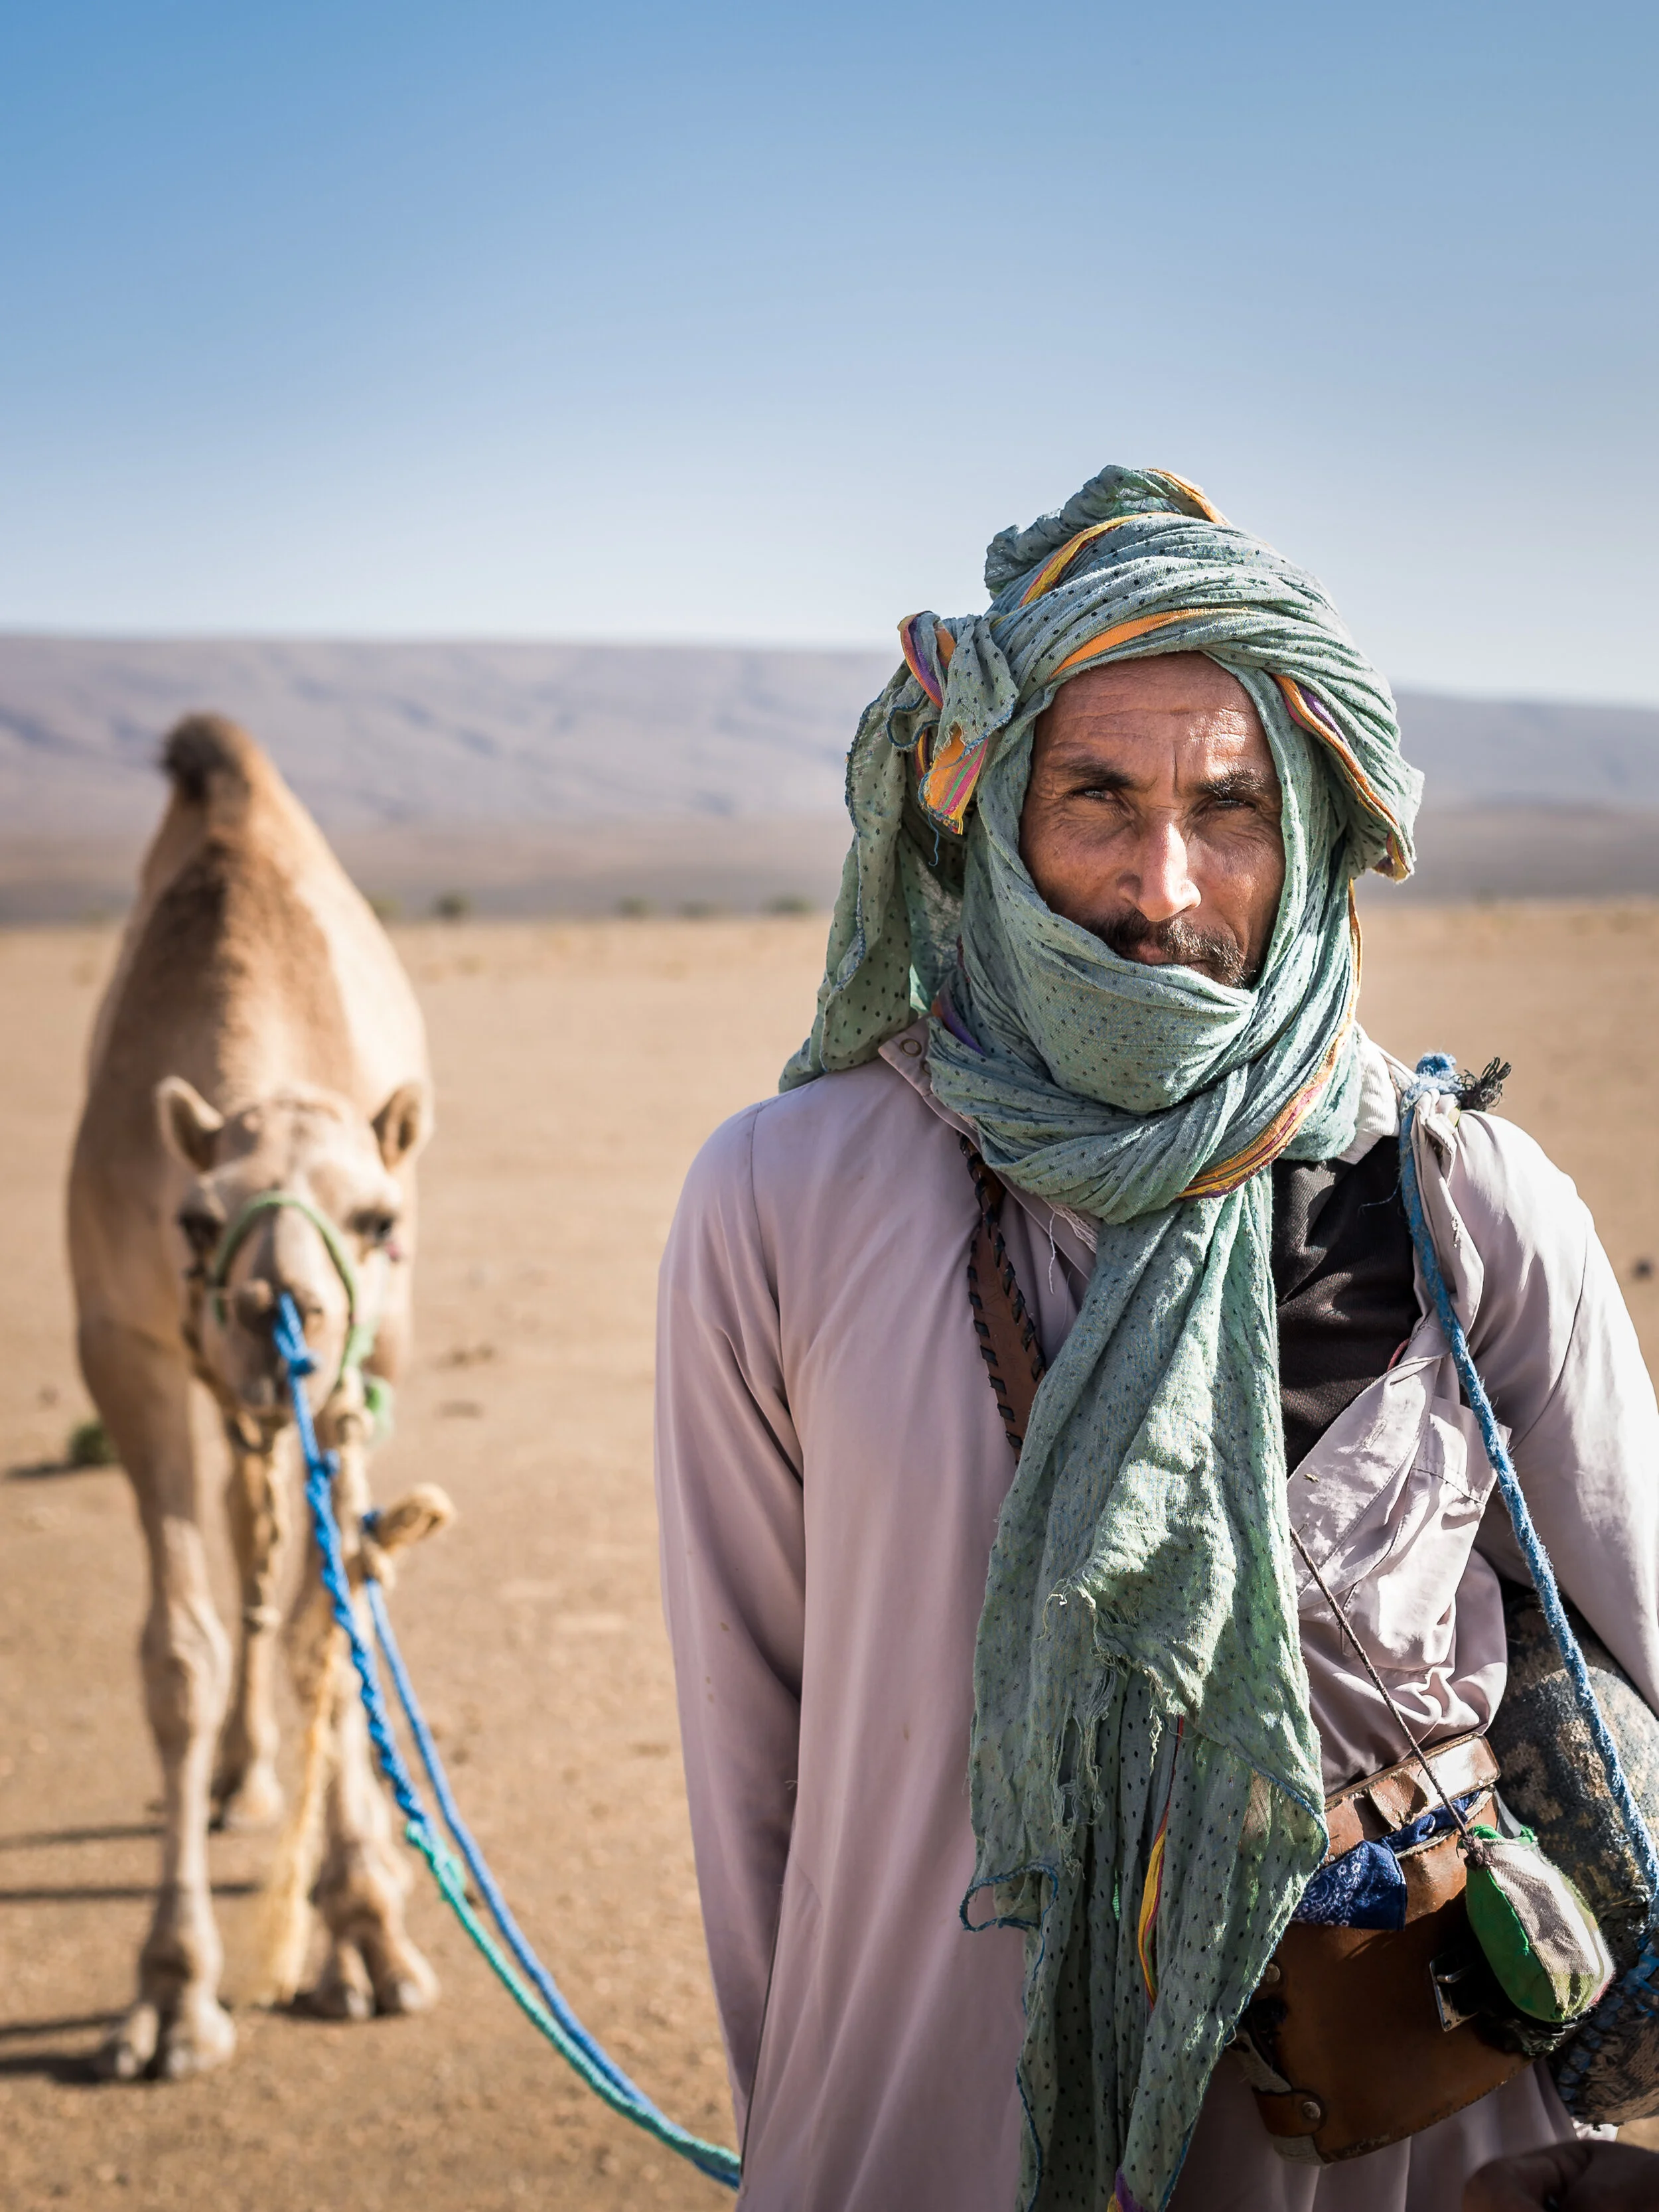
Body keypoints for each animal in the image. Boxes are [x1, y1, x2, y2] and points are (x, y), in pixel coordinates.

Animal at [68, 714, 447, 2081]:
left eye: (378, 1219)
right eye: (195, 1219)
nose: (276, 1309)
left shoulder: (373, 1361)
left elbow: (334, 1609)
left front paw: (366, 1932)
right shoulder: (119, 1343)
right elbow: (179, 1651)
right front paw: (172, 1994)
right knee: (246, 1531)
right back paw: (243, 1777)